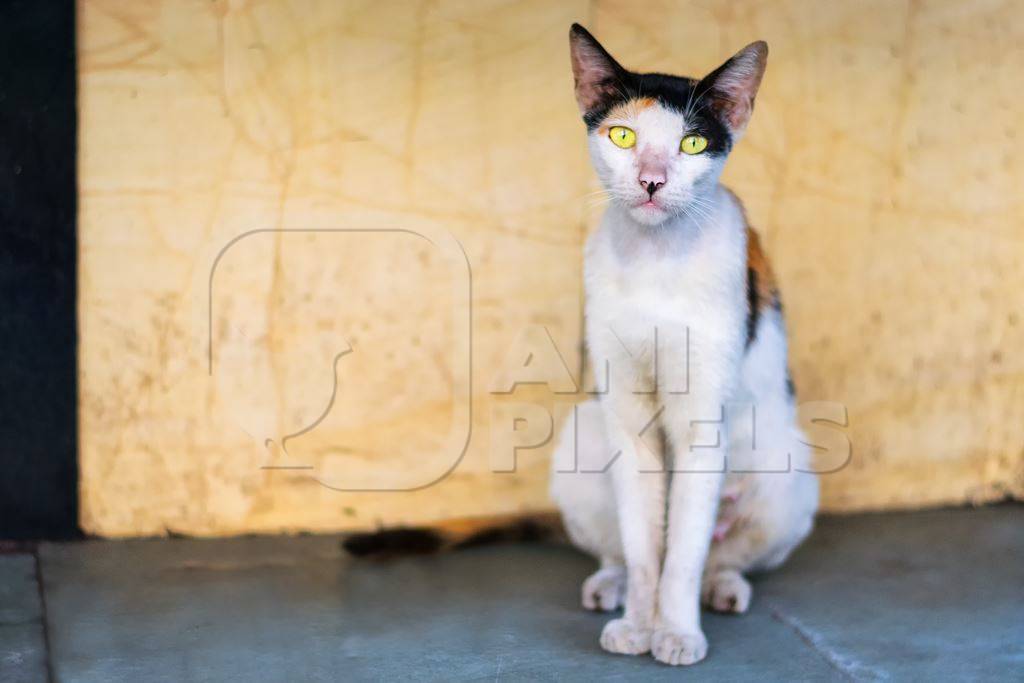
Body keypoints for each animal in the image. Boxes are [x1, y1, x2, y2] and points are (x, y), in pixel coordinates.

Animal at [548, 26, 819, 667]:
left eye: (692, 144)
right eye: (623, 135)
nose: (652, 180)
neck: (655, 261)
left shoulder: (702, 422)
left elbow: (682, 554)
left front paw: (675, 633)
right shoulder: (628, 413)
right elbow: (646, 545)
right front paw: (638, 625)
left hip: (789, 466)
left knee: (719, 552)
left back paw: (723, 589)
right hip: (582, 440)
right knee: (620, 545)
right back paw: (611, 586)